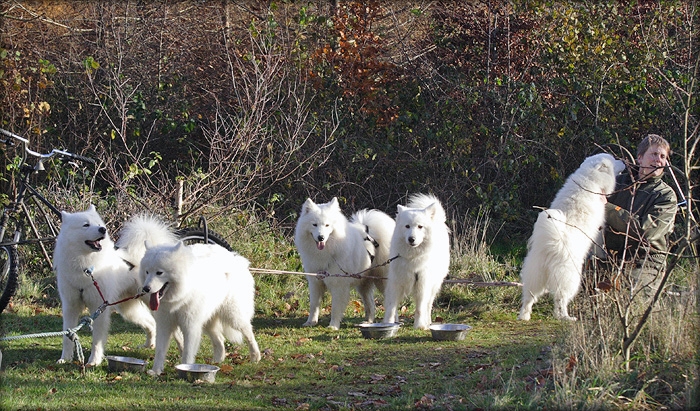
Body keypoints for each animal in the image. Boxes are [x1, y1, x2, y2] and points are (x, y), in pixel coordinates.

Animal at [54, 206, 178, 366]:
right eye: (86, 225)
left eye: (98, 224)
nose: (103, 229)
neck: (86, 267)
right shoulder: (70, 306)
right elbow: (67, 336)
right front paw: (65, 358)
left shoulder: (98, 307)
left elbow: (97, 340)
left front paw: (94, 361)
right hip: (129, 310)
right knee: (150, 323)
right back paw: (149, 345)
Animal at [139, 241, 260, 376]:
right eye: (147, 272)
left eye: (159, 272)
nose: (145, 289)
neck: (180, 296)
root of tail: (236, 258)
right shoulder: (164, 325)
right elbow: (160, 351)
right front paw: (156, 371)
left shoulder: (190, 326)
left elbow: (188, 352)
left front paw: (185, 369)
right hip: (207, 322)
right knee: (220, 340)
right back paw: (217, 361)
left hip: (233, 317)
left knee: (248, 332)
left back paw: (255, 356)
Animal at [380, 194, 452, 332]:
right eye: (407, 226)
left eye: (420, 226)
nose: (411, 239)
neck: (411, 257)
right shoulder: (396, 282)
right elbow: (391, 307)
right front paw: (388, 323)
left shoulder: (422, 285)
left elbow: (420, 309)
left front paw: (419, 325)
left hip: (433, 285)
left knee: (428, 305)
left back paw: (428, 322)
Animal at [516, 152, 628, 322]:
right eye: (613, 161)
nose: (624, 161)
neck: (590, 177)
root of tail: (553, 246)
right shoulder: (600, 228)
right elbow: (600, 243)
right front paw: (602, 254)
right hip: (570, 279)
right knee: (560, 299)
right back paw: (566, 317)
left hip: (535, 274)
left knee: (529, 297)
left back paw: (524, 315)